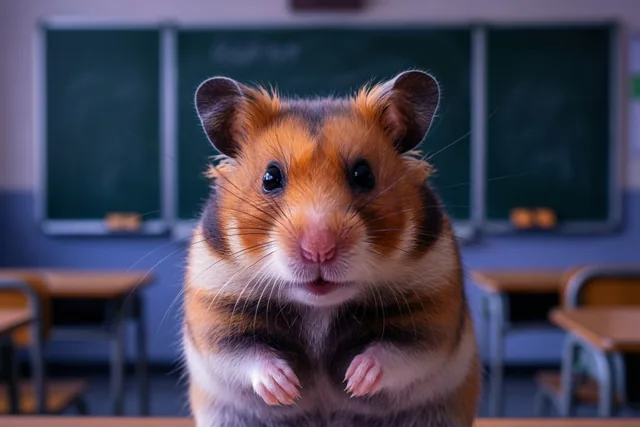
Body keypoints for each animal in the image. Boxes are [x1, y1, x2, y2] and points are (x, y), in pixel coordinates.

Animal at [182, 70, 481, 427]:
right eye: (270, 177)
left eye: (363, 174)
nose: (319, 250)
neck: (319, 307)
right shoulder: (215, 307)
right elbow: (244, 353)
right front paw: (284, 388)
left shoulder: (433, 307)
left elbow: (400, 350)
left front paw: (356, 380)